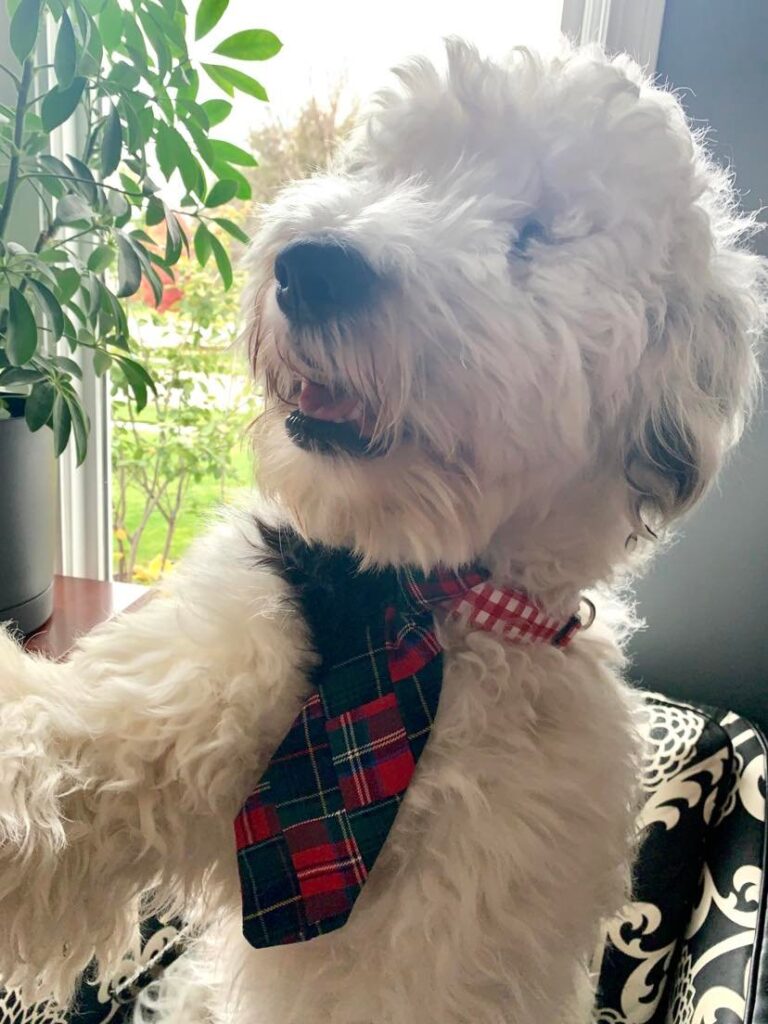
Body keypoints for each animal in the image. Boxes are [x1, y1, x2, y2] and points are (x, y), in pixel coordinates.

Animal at [0, 37, 765, 1024]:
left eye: (536, 233)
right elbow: (63, 754)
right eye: (389, 170)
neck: (419, 602)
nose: (313, 265)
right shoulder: (186, 690)